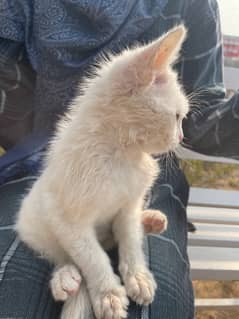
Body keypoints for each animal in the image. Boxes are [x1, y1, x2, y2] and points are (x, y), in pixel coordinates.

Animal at [15, 25, 190, 319]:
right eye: (177, 117)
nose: (180, 137)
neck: (121, 155)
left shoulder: (128, 205)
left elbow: (130, 241)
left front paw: (138, 277)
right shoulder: (68, 220)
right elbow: (92, 258)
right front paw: (108, 294)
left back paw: (150, 220)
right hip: (33, 222)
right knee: (61, 255)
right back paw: (64, 278)